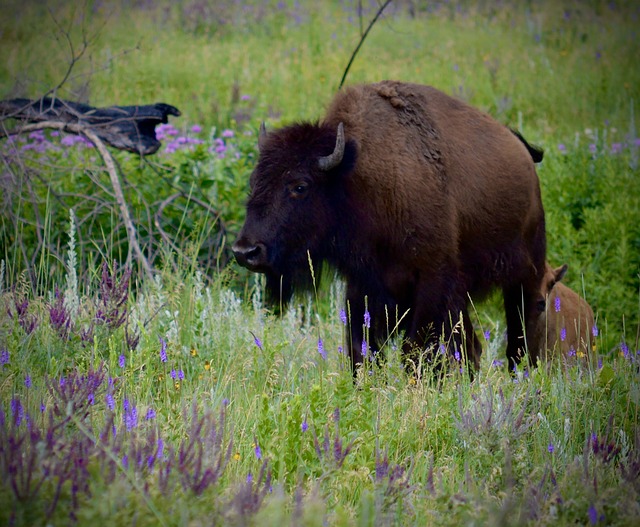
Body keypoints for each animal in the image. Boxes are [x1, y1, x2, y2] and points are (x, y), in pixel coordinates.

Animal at [232, 79, 548, 376]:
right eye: (253, 182)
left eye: (300, 186)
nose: (245, 251)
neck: (356, 178)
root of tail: (524, 153)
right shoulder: (364, 286)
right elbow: (362, 349)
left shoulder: (431, 283)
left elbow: (415, 349)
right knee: (473, 347)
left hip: (524, 276)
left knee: (519, 337)